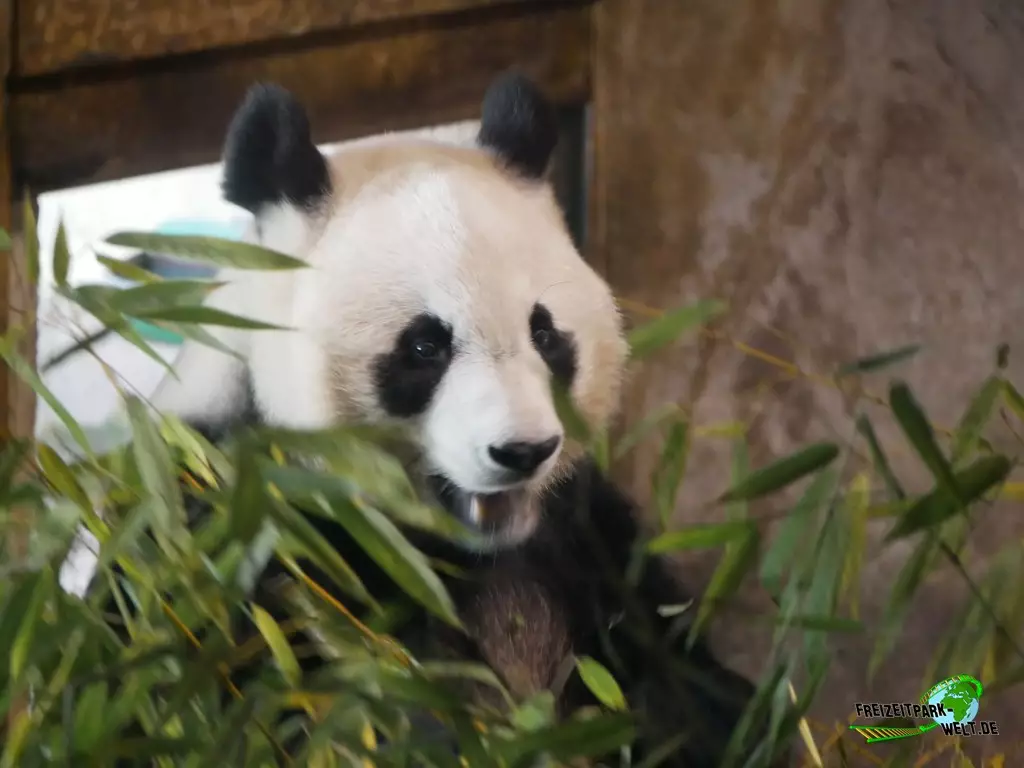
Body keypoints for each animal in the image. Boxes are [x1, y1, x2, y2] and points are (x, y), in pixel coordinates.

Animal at [112, 73, 785, 767]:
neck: (467, 550)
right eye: (424, 346)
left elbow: (682, 680)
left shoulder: (585, 536)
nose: (523, 451)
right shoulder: (244, 538)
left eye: (545, 334)